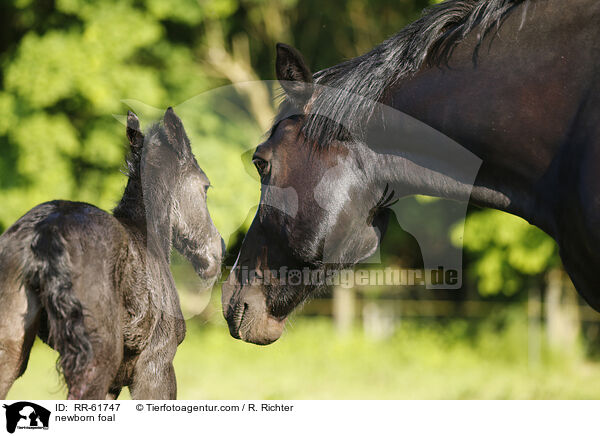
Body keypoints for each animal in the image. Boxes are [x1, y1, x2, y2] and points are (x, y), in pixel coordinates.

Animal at [0, 108, 224, 398]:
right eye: (206, 186)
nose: (219, 249)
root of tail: (47, 229)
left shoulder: (115, 383)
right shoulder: (156, 367)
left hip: (11, 350)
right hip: (97, 361)